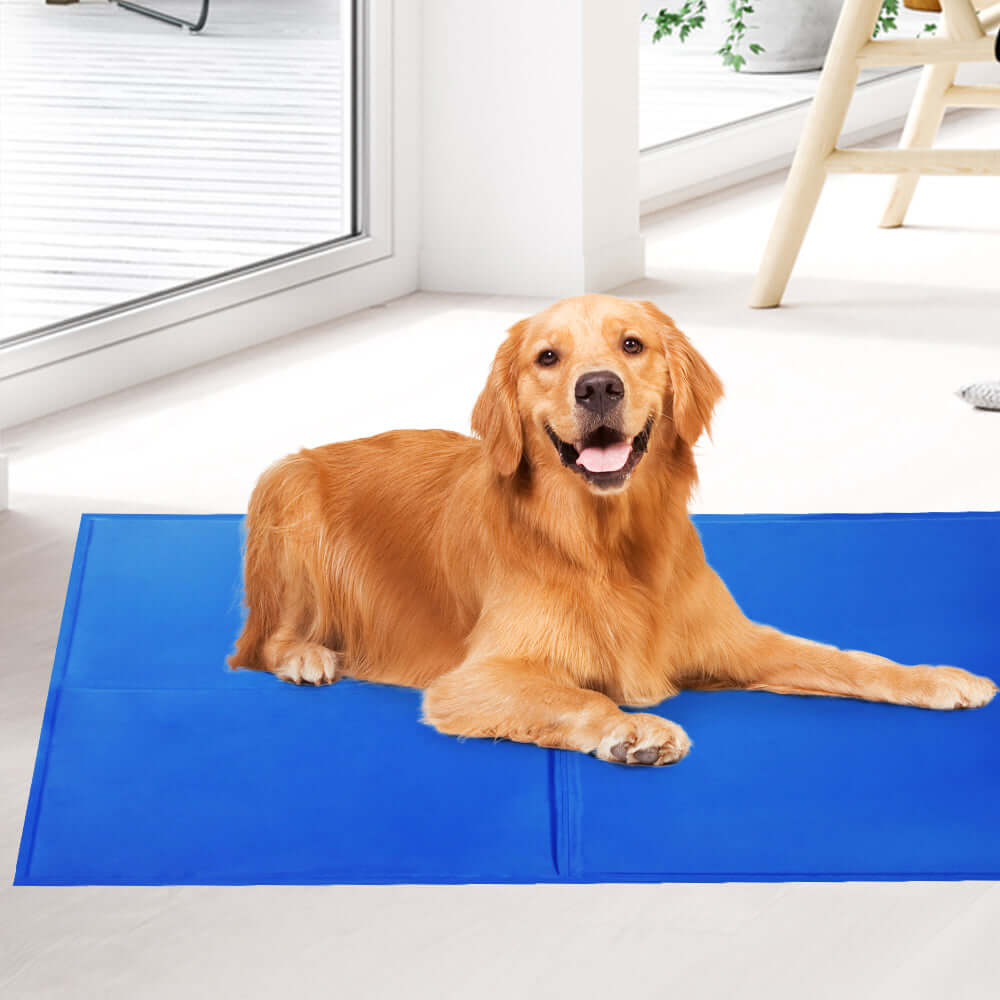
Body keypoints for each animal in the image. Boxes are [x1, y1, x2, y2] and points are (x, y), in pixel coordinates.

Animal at [230, 292, 996, 760]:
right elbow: (578, 693)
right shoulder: (473, 679)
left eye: (632, 345)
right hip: (284, 488)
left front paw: (935, 677)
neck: (609, 545)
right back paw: (306, 657)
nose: (598, 386)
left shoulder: (735, 641)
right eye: (547, 356)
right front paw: (634, 730)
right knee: (264, 640)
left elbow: (845, 659)